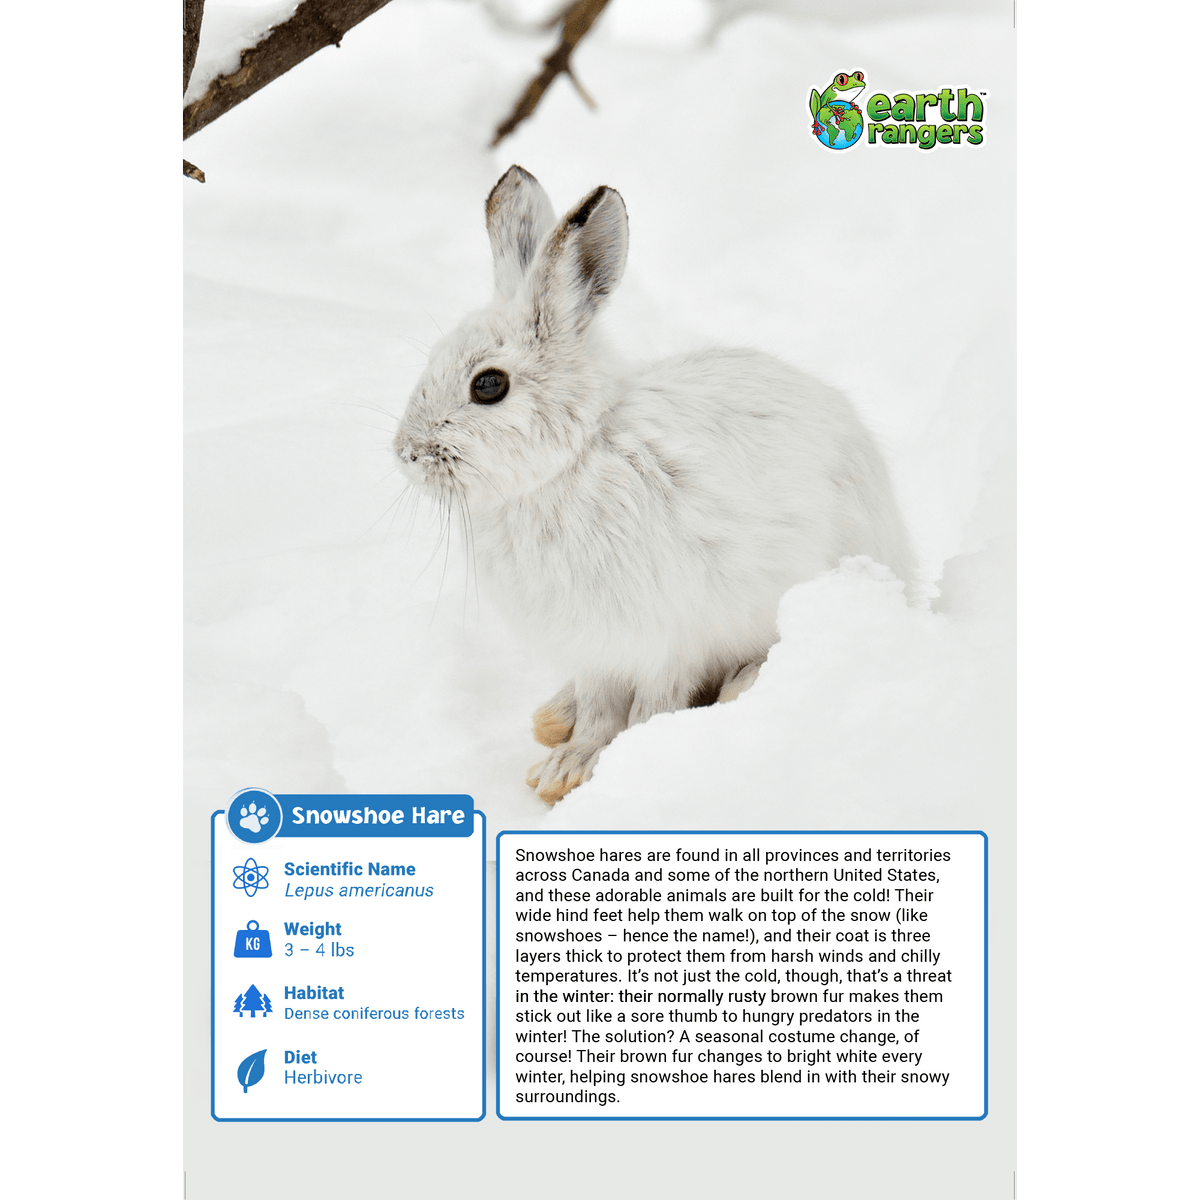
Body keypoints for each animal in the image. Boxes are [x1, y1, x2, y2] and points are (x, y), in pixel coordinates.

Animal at [394, 165, 914, 804]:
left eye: (488, 385)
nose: (406, 453)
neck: (570, 463)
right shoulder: (600, 651)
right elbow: (599, 709)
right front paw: (561, 770)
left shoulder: (669, 638)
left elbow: (653, 708)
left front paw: (602, 769)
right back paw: (553, 717)